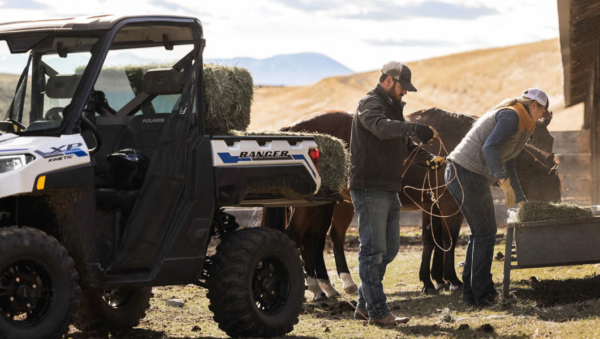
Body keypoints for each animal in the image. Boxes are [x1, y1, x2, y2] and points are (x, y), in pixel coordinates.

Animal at [264, 109, 564, 300]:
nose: (557, 205)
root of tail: (293, 129)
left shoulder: (430, 206)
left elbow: (431, 240)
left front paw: (433, 281)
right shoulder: (448, 206)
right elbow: (448, 240)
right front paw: (451, 280)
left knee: (315, 238)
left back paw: (327, 285)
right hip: (316, 206)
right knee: (303, 237)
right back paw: (318, 286)